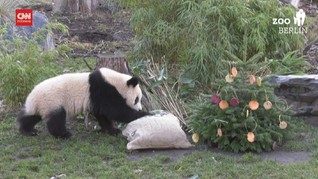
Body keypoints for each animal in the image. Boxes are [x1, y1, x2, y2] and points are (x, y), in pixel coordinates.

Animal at [16, 67, 151, 138]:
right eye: (136, 99)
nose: (139, 108)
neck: (116, 82)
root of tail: (33, 97)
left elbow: (102, 114)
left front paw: (112, 130)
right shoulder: (104, 90)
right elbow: (116, 111)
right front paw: (146, 114)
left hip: (41, 105)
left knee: (31, 116)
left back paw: (27, 130)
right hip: (53, 101)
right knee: (57, 118)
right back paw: (64, 134)